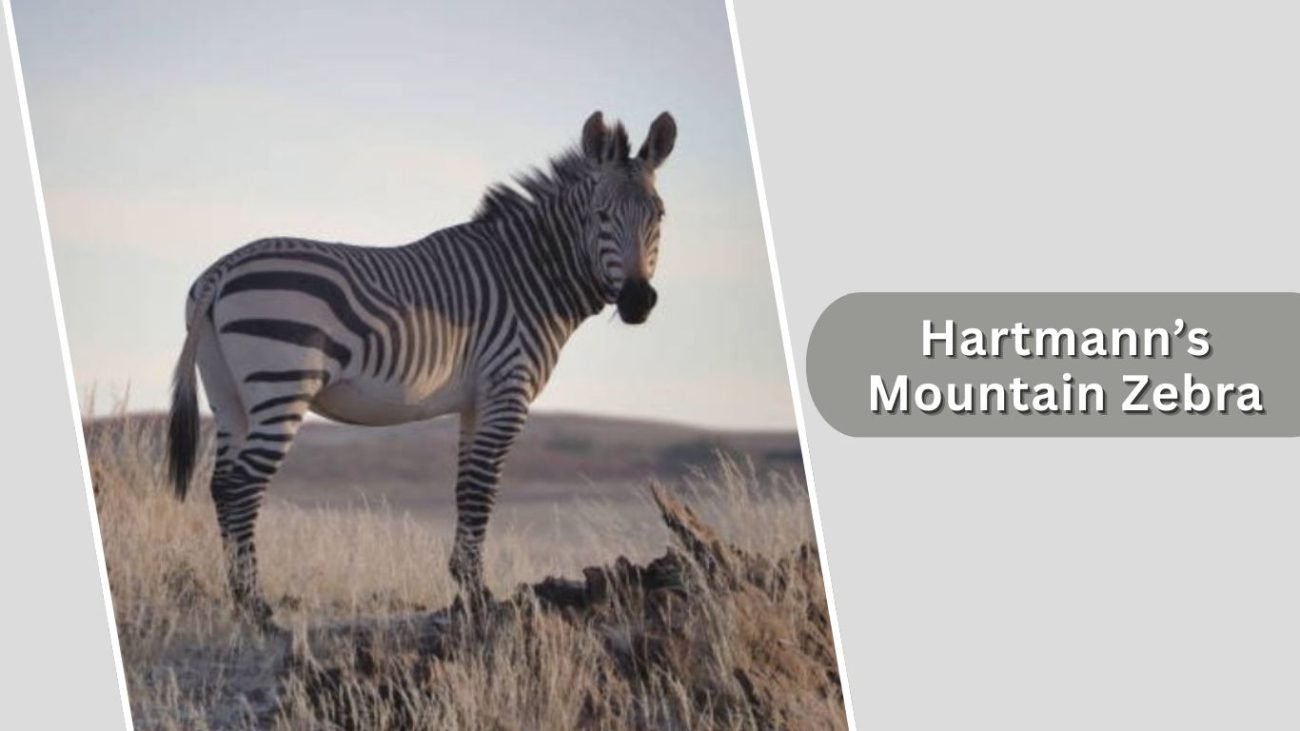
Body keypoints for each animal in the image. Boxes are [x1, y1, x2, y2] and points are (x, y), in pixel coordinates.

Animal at [166, 110, 676, 623]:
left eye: (659, 215)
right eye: (600, 216)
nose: (638, 301)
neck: (529, 275)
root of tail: (221, 271)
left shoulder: (476, 403)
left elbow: (466, 488)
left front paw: (467, 590)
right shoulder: (507, 391)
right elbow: (482, 491)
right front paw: (479, 598)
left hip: (228, 394)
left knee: (222, 483)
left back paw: (239, 599)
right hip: (281, 384)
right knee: (243, 485)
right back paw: (256, 605)